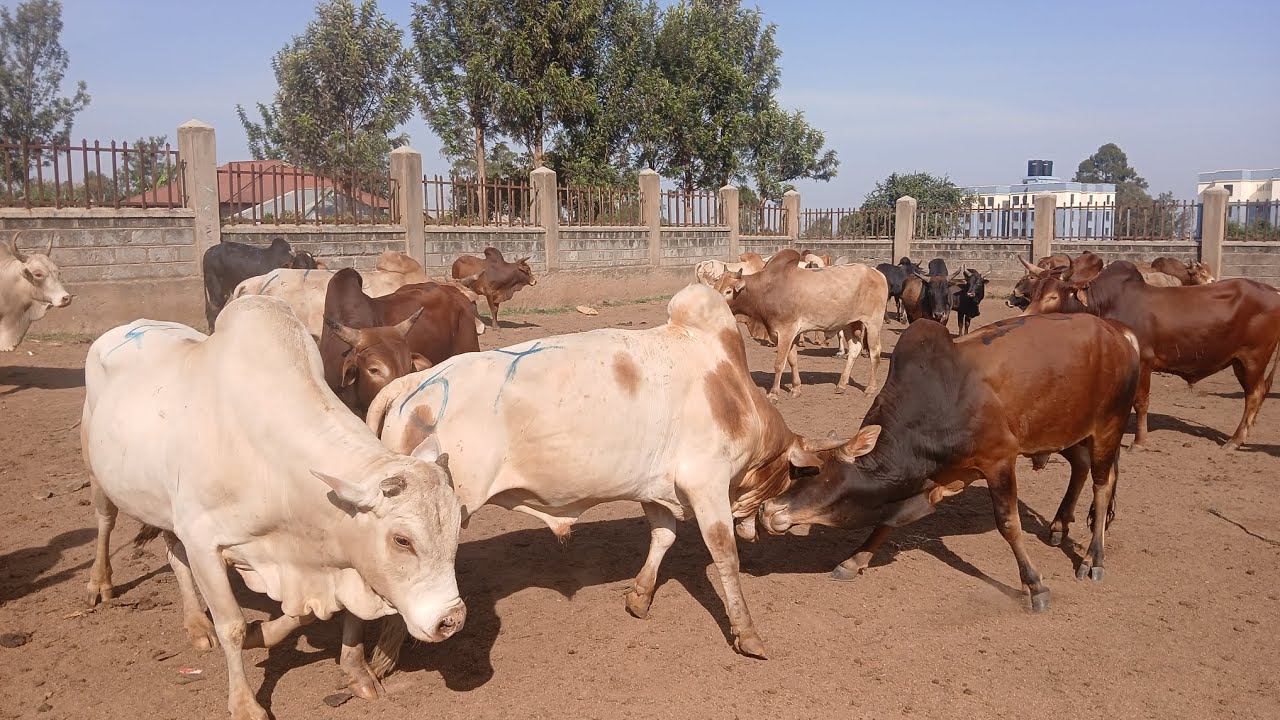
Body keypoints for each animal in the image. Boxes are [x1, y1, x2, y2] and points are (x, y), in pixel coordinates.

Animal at [81, 296, 465, 719]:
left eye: (457, 529)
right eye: (402, 540)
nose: (451, 620)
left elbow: (308, 613)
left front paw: (332, 662)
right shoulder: (204, 542)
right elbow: (230, 625)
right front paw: (244, 701)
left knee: (173, 553)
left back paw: (196, 623)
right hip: (98, 473)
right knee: (105, 521)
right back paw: (100, 583)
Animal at [359, 283, 833, 672]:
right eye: (787, 478)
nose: (764, 528)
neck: (732, 390)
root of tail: (415, 382)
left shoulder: (657, 489)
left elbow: (663, 537)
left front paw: (640, 597)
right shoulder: (707, 483)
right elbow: (724, 556)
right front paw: (748, 634)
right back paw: (381, 660)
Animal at [713, 249, 887, 399]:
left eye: (728, 291)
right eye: (716, 287)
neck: (765, 290)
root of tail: (877, 273)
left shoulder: (785, 331)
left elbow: (779, 363)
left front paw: (774, 394)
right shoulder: (789, 334)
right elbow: (792, 360)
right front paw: (796, 388)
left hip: (873, 323)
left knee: (874, 352)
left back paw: (870, 388)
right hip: (850, 323)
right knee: (854, 349)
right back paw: (841, 385)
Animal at [760, 314, 1141, 612]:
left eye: (816, 472)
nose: (767, 510)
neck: (940, 400)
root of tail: (1119, 332)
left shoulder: (1000, 460)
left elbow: (1009, 524)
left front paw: (1035, 586)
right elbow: (886, 523)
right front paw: (854, 561)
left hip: (1107, 427)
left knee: (1103, 486)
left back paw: (1093, 558)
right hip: (1065, 430)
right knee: (1080, 466)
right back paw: (1060, 526)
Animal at [1021, 260, 1280, 450]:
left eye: (1053, 296)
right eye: (1033, 293)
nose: (1025, 317)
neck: (1107, 303)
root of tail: (1273, 292)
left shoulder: (1143, 363)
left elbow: (1141, 402)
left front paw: (1138, 442)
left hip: (1253, 359)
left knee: (1254, 395)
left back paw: (1235, 441)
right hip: (1240, 362)